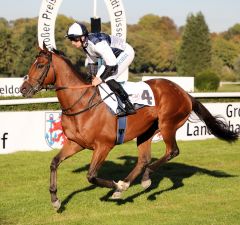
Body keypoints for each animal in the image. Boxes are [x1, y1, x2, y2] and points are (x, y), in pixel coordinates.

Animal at [20, 44, 238, 210]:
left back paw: (140, 180)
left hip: (167, 124)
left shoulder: (104, 145)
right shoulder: (76, 143)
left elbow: (91, 175)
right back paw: (128, 183)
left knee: (171, 151)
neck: (81, 103)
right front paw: (55, 200)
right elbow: (54, 162)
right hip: (147, 132)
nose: (23, 89)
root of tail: (184, 93)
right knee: (144, 159)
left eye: (40, 65)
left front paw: (115, 185)